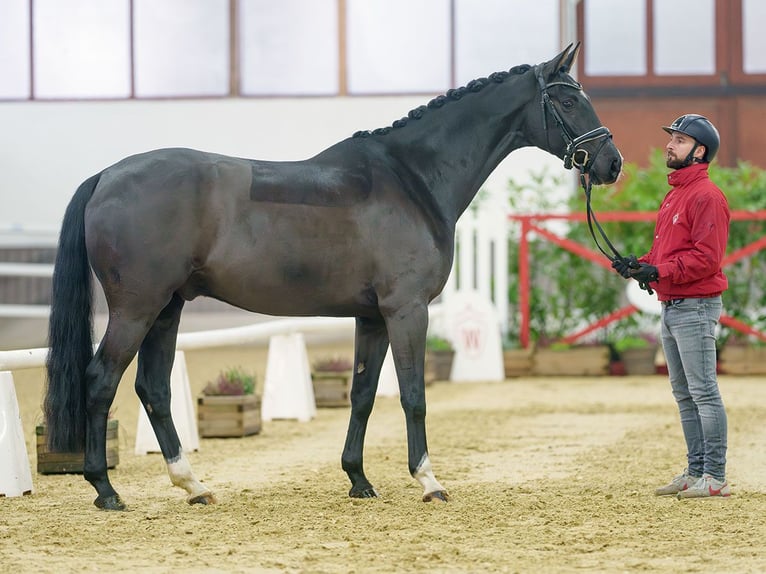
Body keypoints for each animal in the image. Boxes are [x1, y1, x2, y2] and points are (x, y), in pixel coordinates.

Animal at [43, 46, 624, 512]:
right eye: (567, 101)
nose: (612, 164)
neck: (412, 179)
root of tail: (106, 176)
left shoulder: (371, 317)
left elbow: (362, 393)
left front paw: (358, 480)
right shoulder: (406, 311)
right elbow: (413, 394)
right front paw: (429, 481)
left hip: (168, 308)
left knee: (153, 389)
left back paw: (193, 485)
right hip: (137, 308)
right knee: (101, 380)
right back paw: (106, 490)